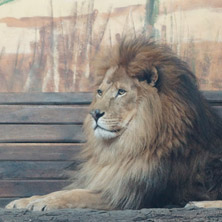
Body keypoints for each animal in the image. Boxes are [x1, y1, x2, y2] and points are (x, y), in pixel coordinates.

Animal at [4, 36, 222, 210]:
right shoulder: (110, 180)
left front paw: (44, 202)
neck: (124, 147)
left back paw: (199, 204)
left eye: (121, 92)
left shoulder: (129, 196)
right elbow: (65, 190)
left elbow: (76, 194)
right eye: (100, 92)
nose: (94, 113)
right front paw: (25, 200)